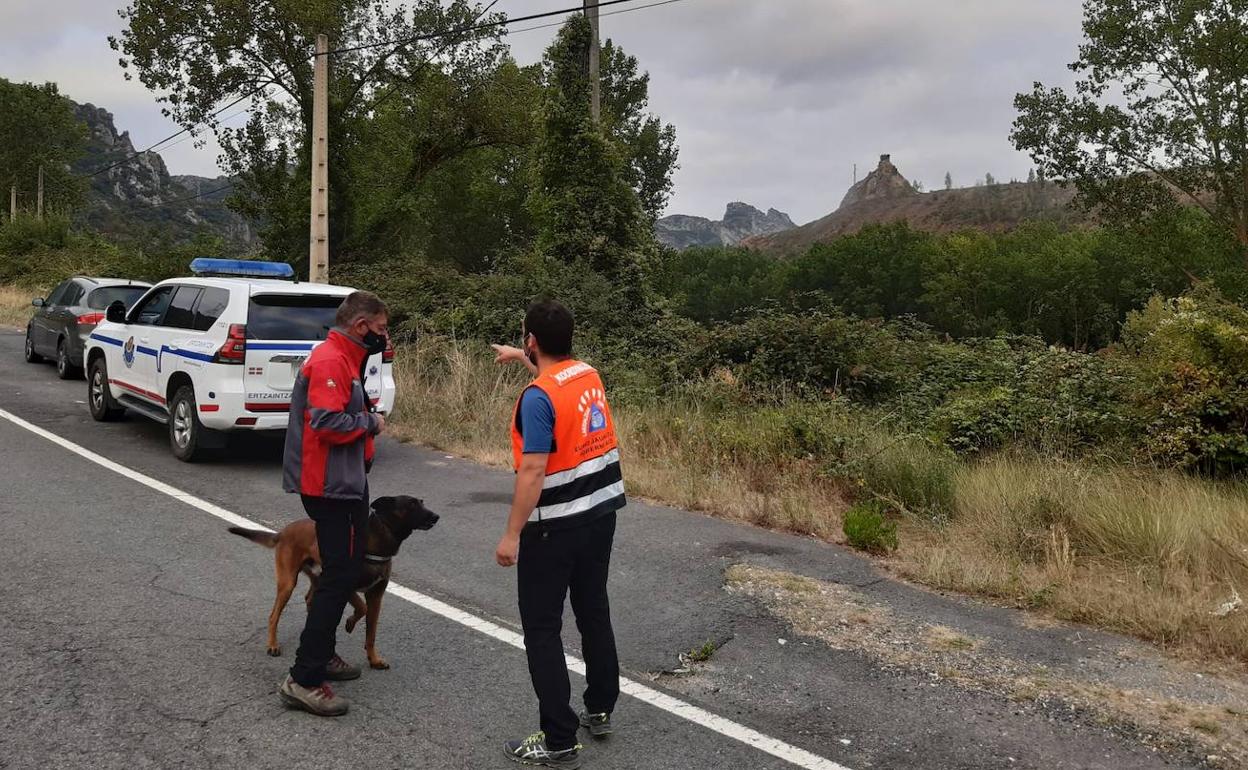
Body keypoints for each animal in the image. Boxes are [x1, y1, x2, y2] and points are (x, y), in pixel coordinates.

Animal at [229, 496, 439, 668]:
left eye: (422, 502)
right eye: (411, 504)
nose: (436, 516)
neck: (375, 543)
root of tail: (283, 531)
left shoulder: (376, 596)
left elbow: (371, 632)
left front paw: (374, 659)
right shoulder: (346, 589)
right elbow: (361, 607)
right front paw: (350, 623)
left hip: (319, 578)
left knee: (310, 600)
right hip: (288, 583)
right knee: (273, 615)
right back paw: (272, 645)